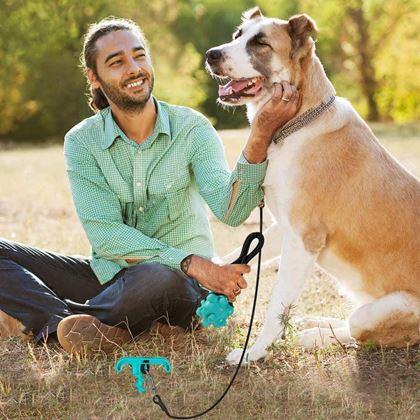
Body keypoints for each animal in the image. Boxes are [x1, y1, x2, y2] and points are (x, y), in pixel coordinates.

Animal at [205, 6, 418, 364]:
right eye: (237, 35)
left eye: (260, 43)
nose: (211, 54)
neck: (297, 124)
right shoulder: (283, 228)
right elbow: (237, 255)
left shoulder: (303, 241)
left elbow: (276, 308)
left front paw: (253, 353)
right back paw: (311, 326)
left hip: (383, 311)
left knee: (358, 331)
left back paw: (311, 335)